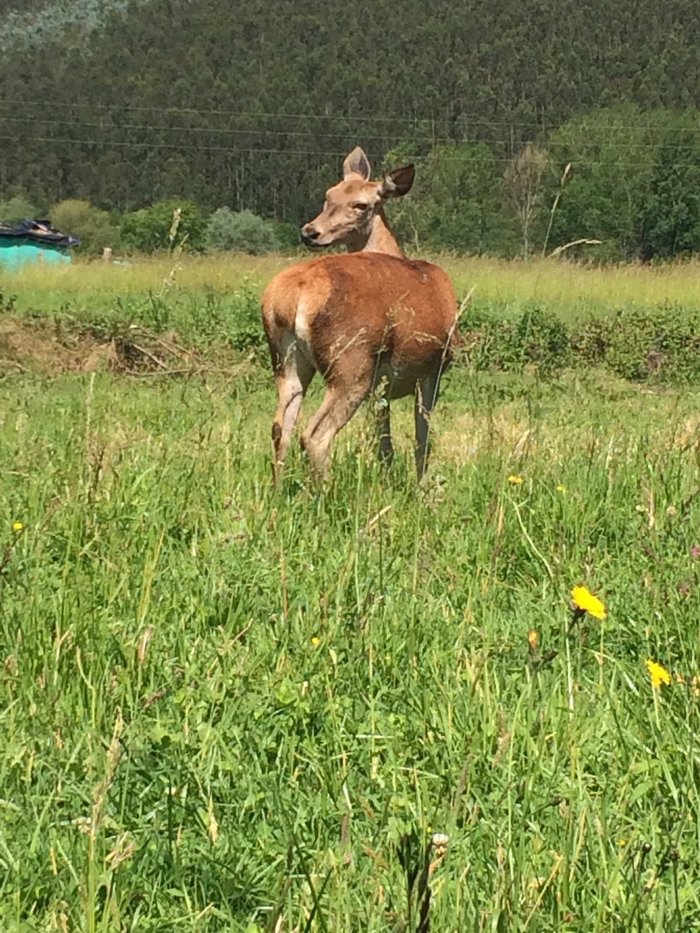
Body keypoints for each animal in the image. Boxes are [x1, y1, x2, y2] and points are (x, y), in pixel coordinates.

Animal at [262, 147, 460, 484]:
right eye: (328, 196)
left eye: (360, 204)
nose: (309, 232)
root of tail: (294, 298)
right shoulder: (433, 365)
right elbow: (422, 437)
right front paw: (422, 487)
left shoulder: (383, 384)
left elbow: (385, 441)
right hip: (350, 360)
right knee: (315, 434)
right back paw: (326, 491)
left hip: (285, 359)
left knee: (281, 427)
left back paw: (276, 491)